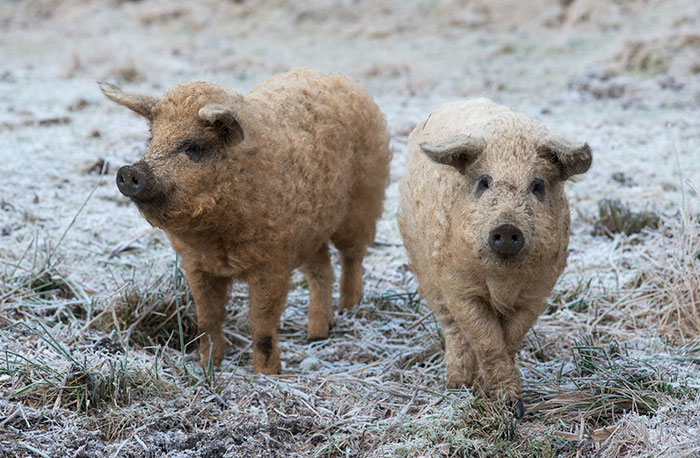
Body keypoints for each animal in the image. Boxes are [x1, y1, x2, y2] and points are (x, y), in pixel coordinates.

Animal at [100, 68, 391, 373]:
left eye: (194, 147)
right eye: (151, 138)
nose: (128, 171)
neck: (216, 238)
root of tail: (337, 77)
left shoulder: (272, 262)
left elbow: (261, 324)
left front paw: (267, 375)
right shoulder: (196, 264)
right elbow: (207, 319)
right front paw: (207, 366)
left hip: (364, 200)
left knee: (352, 257)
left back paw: (349, 308)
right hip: (310, 230)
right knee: (321, 269)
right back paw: (316, 335)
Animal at [397, 98, 591, 417]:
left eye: (537, 185)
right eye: (484, 182)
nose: (507, 227)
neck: (503, 281)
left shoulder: (537, 294)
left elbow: (509, 339)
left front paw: (511, 405)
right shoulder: (460, 289)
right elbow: (487, 340)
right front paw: (504, 404)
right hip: (424, 269)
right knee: (451, 327)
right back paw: (456, 383)